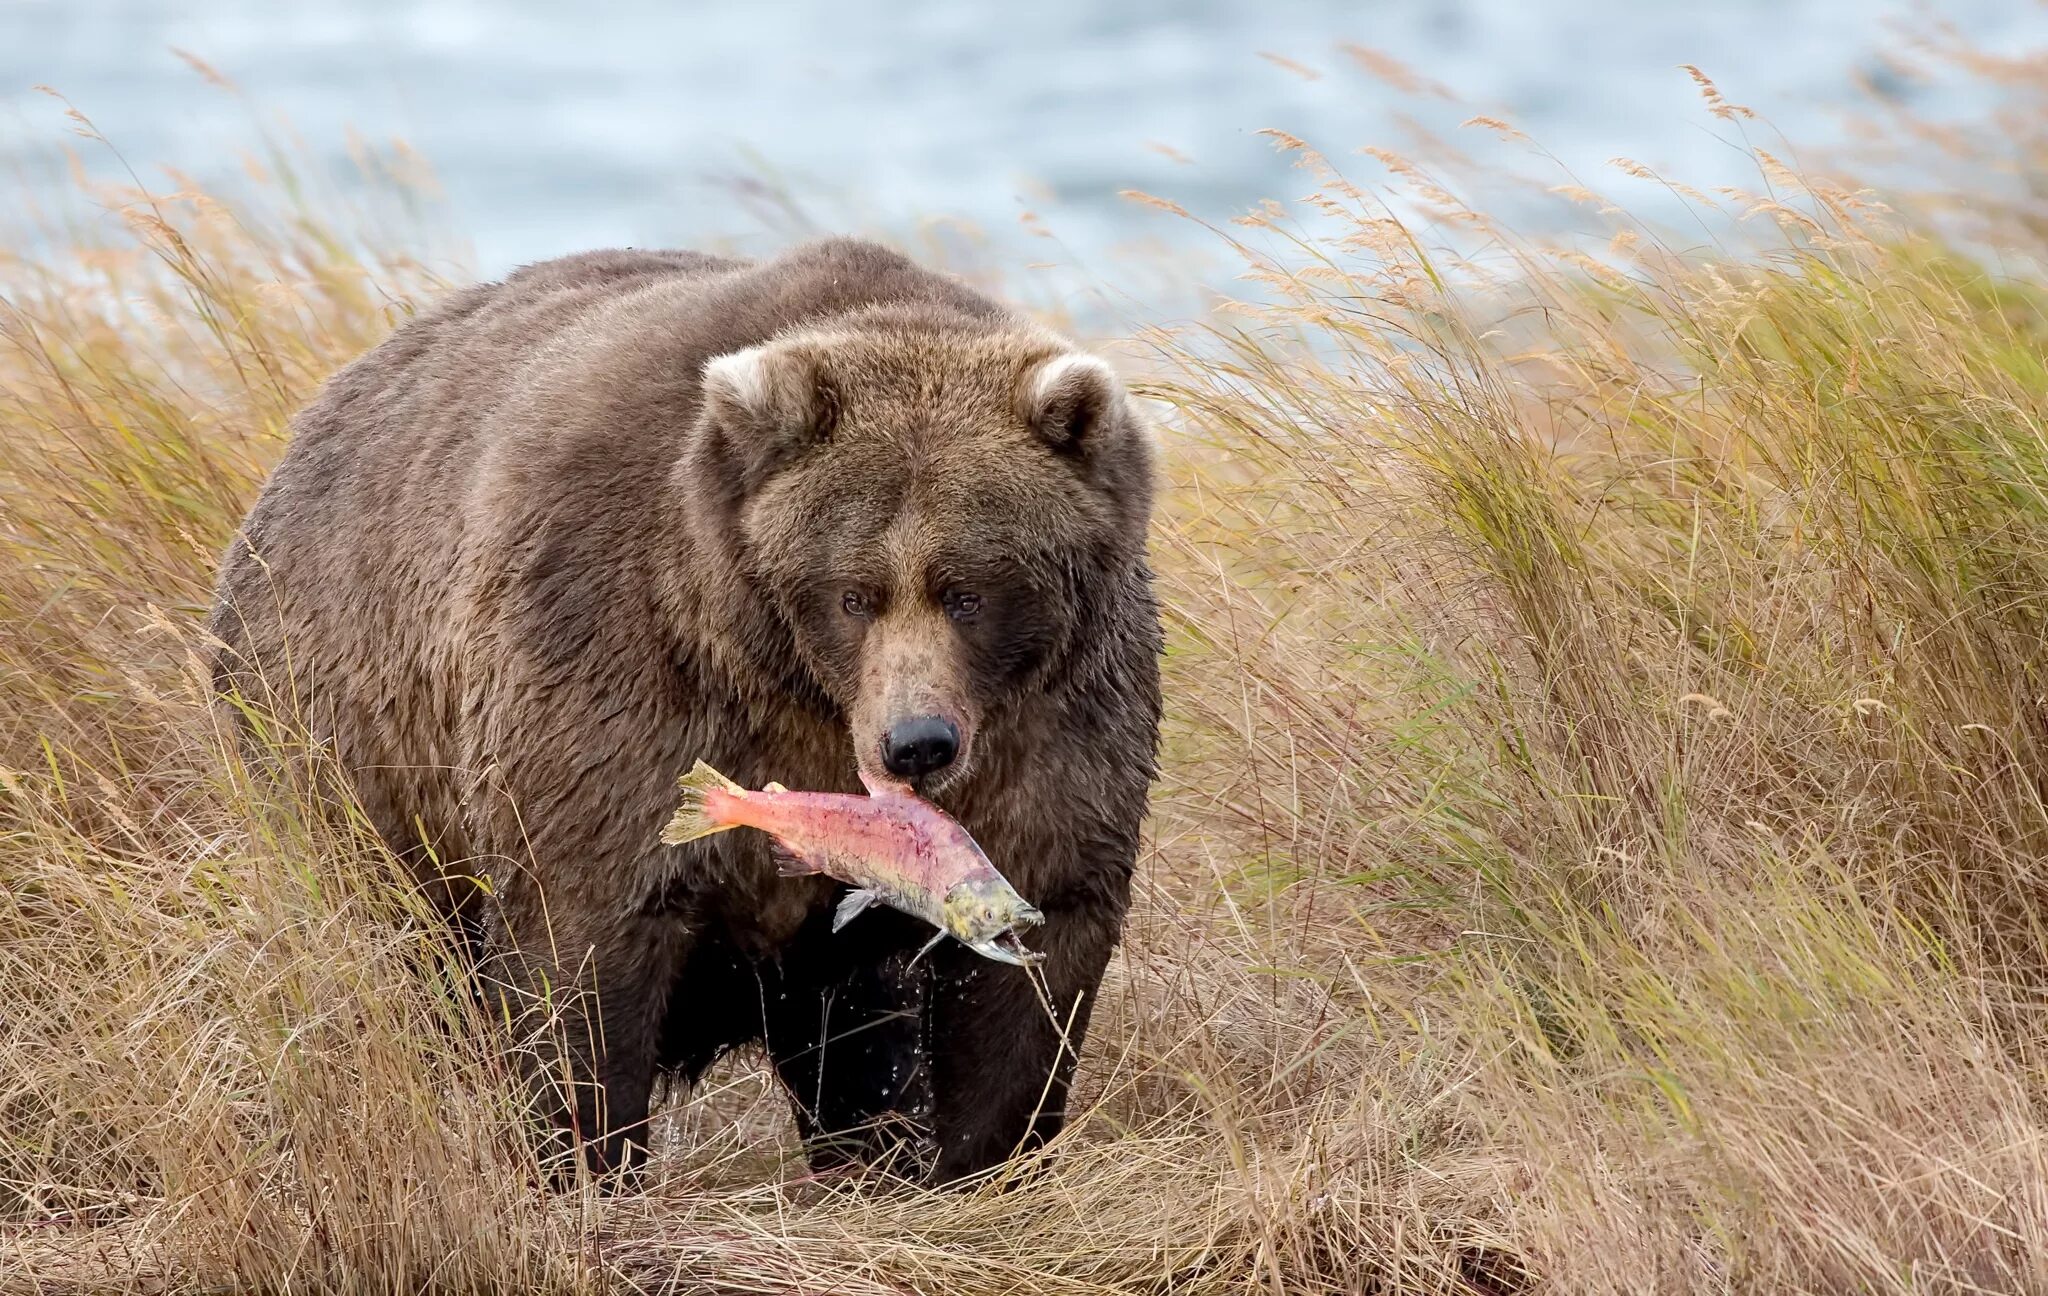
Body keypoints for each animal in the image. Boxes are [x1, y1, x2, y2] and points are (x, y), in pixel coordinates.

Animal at [211, 237, 1171, 1179]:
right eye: (853, 594)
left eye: (968, 591)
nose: (917, 743)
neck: (795, 693)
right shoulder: (620, 660)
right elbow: (580, 942)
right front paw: (581, 1158)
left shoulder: (1054, 726)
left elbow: (1039, 948)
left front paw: (983, 1158)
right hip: (335, 731)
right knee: (393, 946)